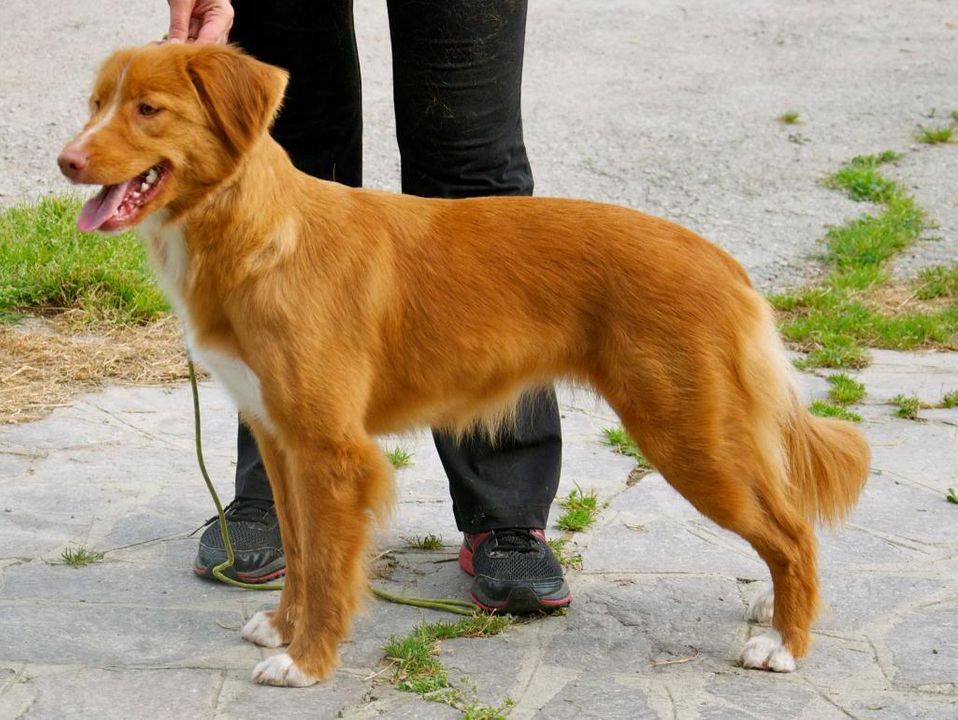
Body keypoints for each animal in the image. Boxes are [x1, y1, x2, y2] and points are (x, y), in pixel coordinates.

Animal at [58, 43, 872, 688]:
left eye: (149, 110)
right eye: (95, 104)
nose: (67, 160)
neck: (260, 234)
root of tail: (721, 262)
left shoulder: (332, 453)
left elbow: (329, 564)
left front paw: (308, 661)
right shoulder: (280, 437)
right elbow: (300, 550)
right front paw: (286, 628)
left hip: (688, 436)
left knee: (793, 534)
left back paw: (785, 644)